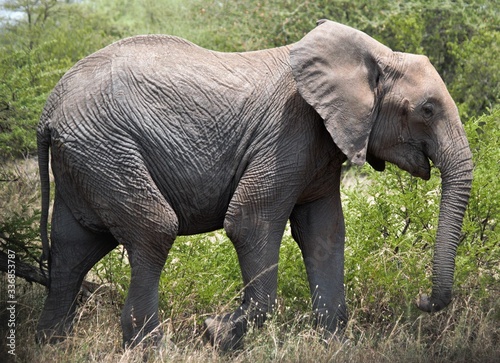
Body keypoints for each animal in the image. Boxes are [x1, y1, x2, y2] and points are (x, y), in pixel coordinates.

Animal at [36, 20, 472, 352]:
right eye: (427, 110)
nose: (422, 299)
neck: (374, 56)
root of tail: (50, 108)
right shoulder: (288, 131)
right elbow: (250, 221)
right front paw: (217, 334)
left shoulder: (319, 148)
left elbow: (324, 234)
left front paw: (335, 346)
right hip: (105, 146)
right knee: (153, 229)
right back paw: (151, 349)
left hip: (87, 158)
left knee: (73, 249)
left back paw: (52, 343)